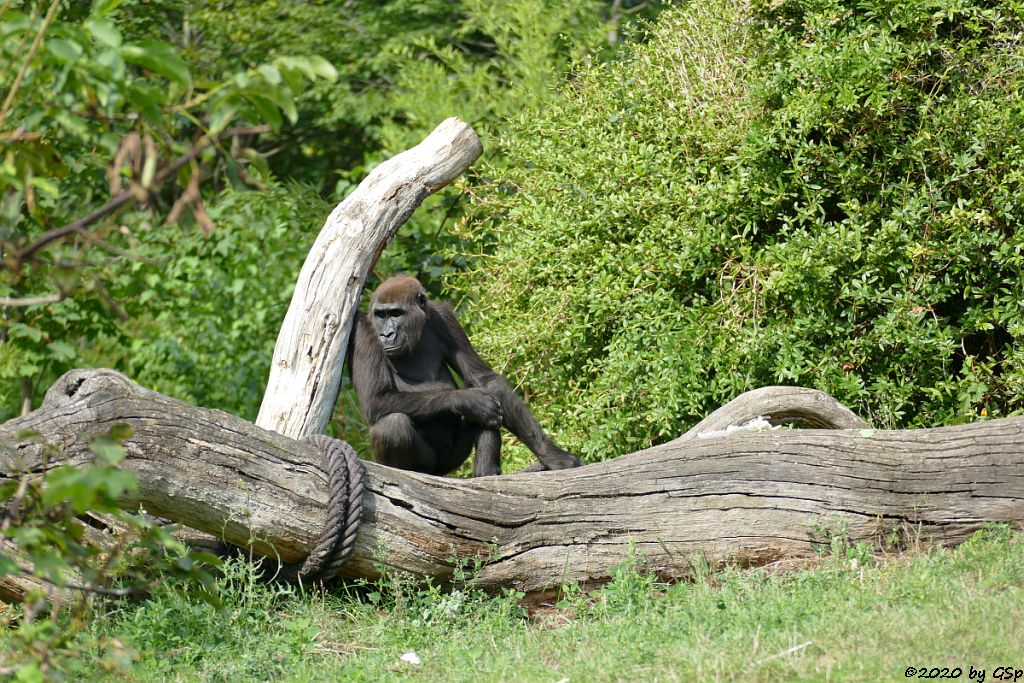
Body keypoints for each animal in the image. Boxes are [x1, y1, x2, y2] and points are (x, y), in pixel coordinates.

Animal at [352, 272, 581, 475]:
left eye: (395, 313)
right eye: (380, 315)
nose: (386, 334)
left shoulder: (445, 317)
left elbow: (484, 381)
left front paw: (551, 454)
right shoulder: (364, 331)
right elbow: (377, 399)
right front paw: (470, 400)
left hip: (451, 461)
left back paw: (486, 473)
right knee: (393, 427)